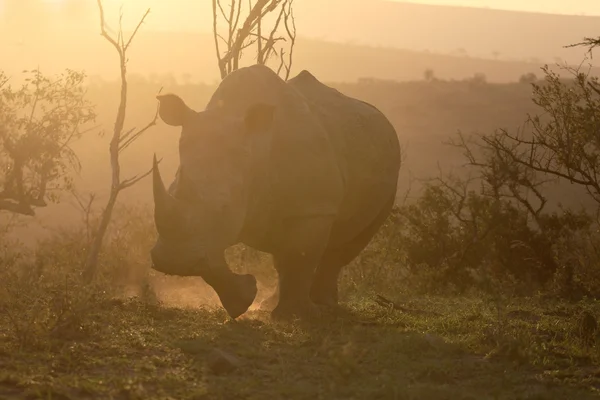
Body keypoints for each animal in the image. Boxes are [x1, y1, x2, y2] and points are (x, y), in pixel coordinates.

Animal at [152, 64, 400, 318]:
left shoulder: (313, 208)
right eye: (172, 190)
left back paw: (323, 305)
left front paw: (294, 315)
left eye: (224, 208)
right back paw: (269, 304)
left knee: (345, 243)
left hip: (386, 169)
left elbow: (299, 255)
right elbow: (210, 261)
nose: (171, 261)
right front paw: (243, 302)